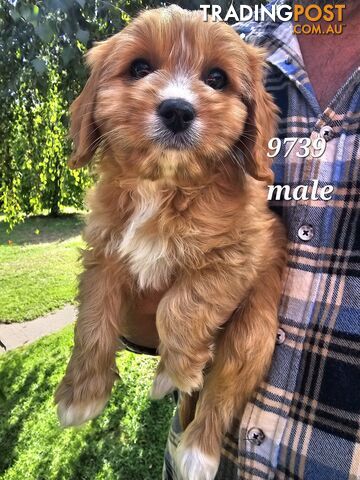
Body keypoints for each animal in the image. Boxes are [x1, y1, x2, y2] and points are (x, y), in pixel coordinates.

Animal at [55, 7, 286, 480]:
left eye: (216, 78)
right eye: (139, 68)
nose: (177, 110)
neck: (162, 184)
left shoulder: (236, 257)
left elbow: (178, 308)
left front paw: (181, 369)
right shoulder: (104, 254)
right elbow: (92, 322)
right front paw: (81, 394)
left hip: (255, 330)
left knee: (223, 387)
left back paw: (198, 448)